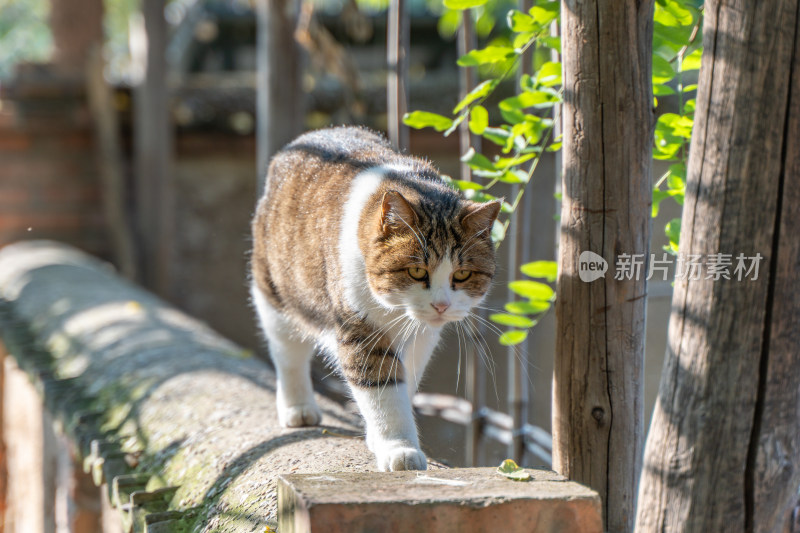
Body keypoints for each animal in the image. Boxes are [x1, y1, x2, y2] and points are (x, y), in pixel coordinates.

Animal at [250, 125, 500, 470]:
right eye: (417, 271)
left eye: (461, 275)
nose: (441, 305)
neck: (394, 309)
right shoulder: (359, 330)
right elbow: (382, 388)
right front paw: (399, 449)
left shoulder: (423, 335)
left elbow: (406, 380)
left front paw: (379, 438)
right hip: (275, 293)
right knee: (287, 352)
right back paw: (298, 408)